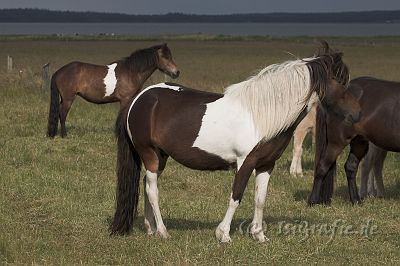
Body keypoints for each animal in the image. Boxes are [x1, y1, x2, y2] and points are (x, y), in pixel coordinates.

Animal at [46, 43, 179, 137]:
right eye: (164, 56)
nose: (177, 72)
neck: (131, 72)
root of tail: (59, 72)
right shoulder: (125, 99)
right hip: (68, 99)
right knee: (62, 114)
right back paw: (64, 135)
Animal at [108, 42, 354, 243]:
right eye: (339, 80)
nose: (353, 115)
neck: (260, 116)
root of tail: (140, 98)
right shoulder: (245, 162)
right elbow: (236, 196)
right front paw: (223, 234)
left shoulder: (266, 165)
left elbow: (260, 199)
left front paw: (259, 235)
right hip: (149, 153)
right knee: (152, 190)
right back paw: (163, 231)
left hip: (161, 156)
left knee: (146, 185)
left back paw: (150, 229)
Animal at [310, 76, 400, 205]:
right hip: (337, 142)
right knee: (322, 166)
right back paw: (312, 201)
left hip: (359, 142)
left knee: (350, 167)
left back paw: (356, 201)